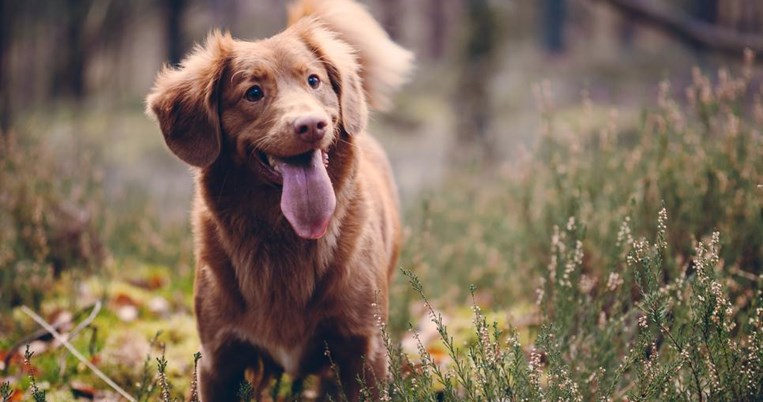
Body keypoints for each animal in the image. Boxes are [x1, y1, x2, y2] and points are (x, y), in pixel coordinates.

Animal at [146, 0, 414, 402]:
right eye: (253, 92)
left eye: (314, 81)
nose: (312, 125)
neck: (282, 236)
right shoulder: (219, 360)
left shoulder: (363, 352)